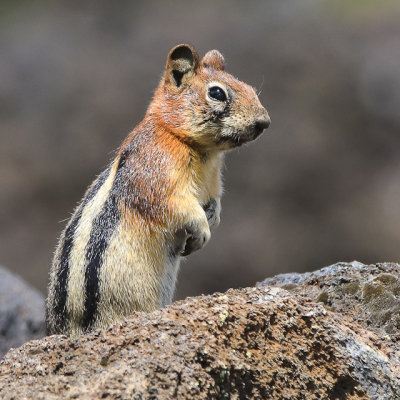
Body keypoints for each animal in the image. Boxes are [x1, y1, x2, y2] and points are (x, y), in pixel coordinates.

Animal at [44, 43, 268, 336]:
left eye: (250, 87)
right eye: (217, 93)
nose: (264, 122)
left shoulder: (212, 183)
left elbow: (215, 202)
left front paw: (213, 218)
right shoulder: (158, 176)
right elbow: (176, 207)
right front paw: (202, 231)